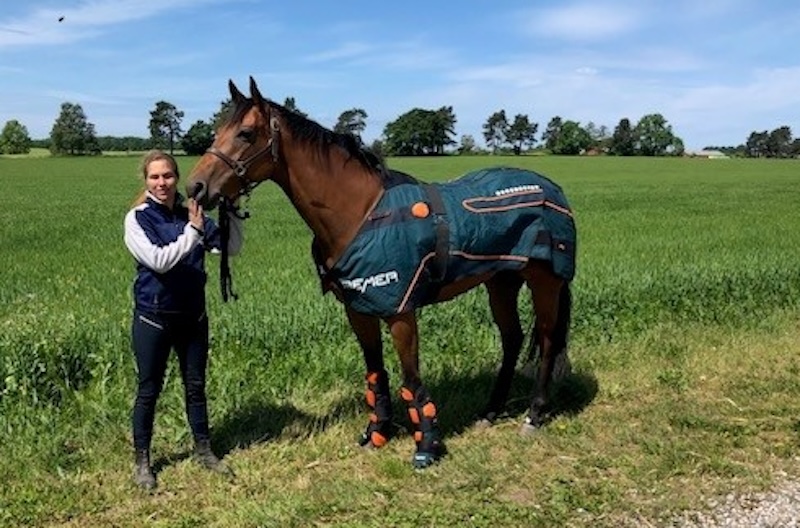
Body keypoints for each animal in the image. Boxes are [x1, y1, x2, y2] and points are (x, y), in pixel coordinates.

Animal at [186, 77, 576, 466]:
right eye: (218, 130)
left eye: (246, 133)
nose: (195, 187)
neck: (359, 213)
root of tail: (551, 187)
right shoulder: (359, 309)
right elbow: (376, 373)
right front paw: (377, 433)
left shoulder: (401, 311)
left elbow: (411, 380)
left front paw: (426, 447)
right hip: (501, 282)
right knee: (512, 339)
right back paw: (490, 411)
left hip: (545, 283)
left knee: (547, 340)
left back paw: (533, 415)